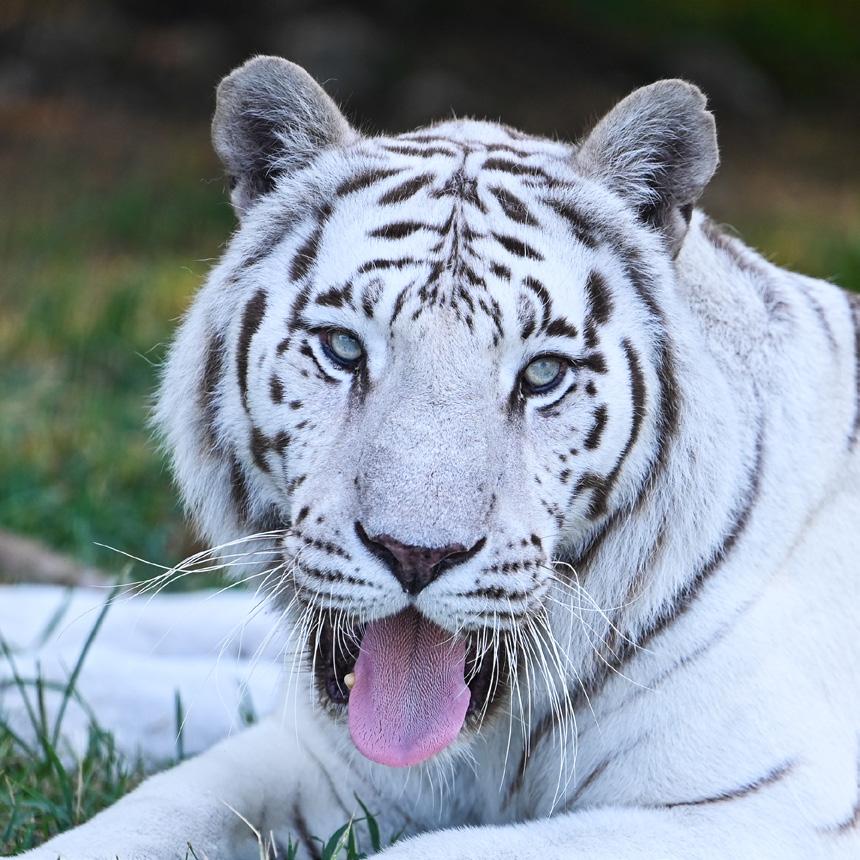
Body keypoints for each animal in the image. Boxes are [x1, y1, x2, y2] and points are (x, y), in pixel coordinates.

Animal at [11, 55, 859, 860]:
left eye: (542, 374)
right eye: (343, 348)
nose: (415, 556)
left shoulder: (767, 809)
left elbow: (430, 850)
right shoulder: (324, 764)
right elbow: (164, 804)